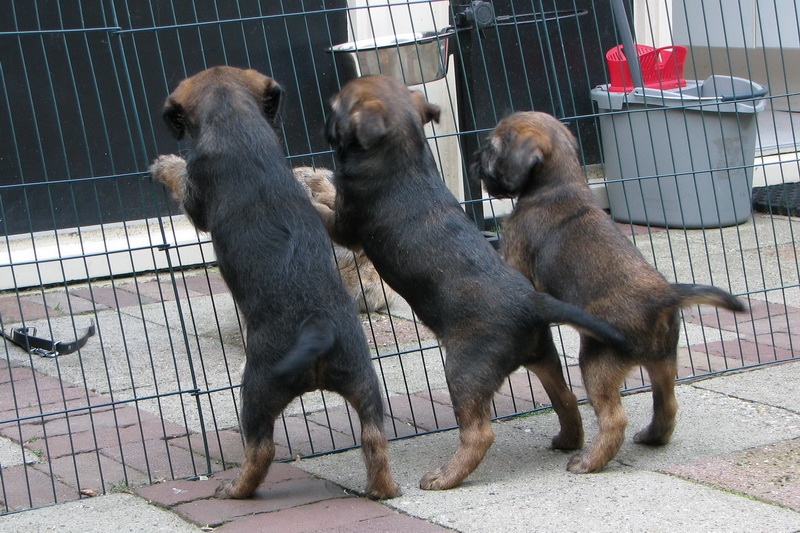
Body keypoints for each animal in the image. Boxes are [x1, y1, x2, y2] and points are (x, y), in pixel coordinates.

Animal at [151, 66, 399, 500]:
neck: (237, 125)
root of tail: (318, 328)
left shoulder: (196, 193)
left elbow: (180, 178)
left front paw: (163, 164)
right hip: (366, 382)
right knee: (374, 439)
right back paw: (383, 489)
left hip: (256, 391)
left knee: (261, 448)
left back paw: (235, 490)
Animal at [318, 74, 632, 490]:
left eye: (337, 105)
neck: (402, 151)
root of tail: (530, 303)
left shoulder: (347, 225)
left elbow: (323, 209)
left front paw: (309, 186)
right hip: (541, 355)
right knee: (565, 397)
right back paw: (568, 440)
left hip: (464, 369)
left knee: (480, 433)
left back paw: (445, 476)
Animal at [473, 111, 747, 473]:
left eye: (492, 148)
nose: (474, 161)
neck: (559, 186)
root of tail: (660, 297)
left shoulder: (516, 257)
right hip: (663, 361)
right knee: (667, 403)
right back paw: (653, 437)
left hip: (596, 362)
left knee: (615, 418)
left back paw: (589, 461)